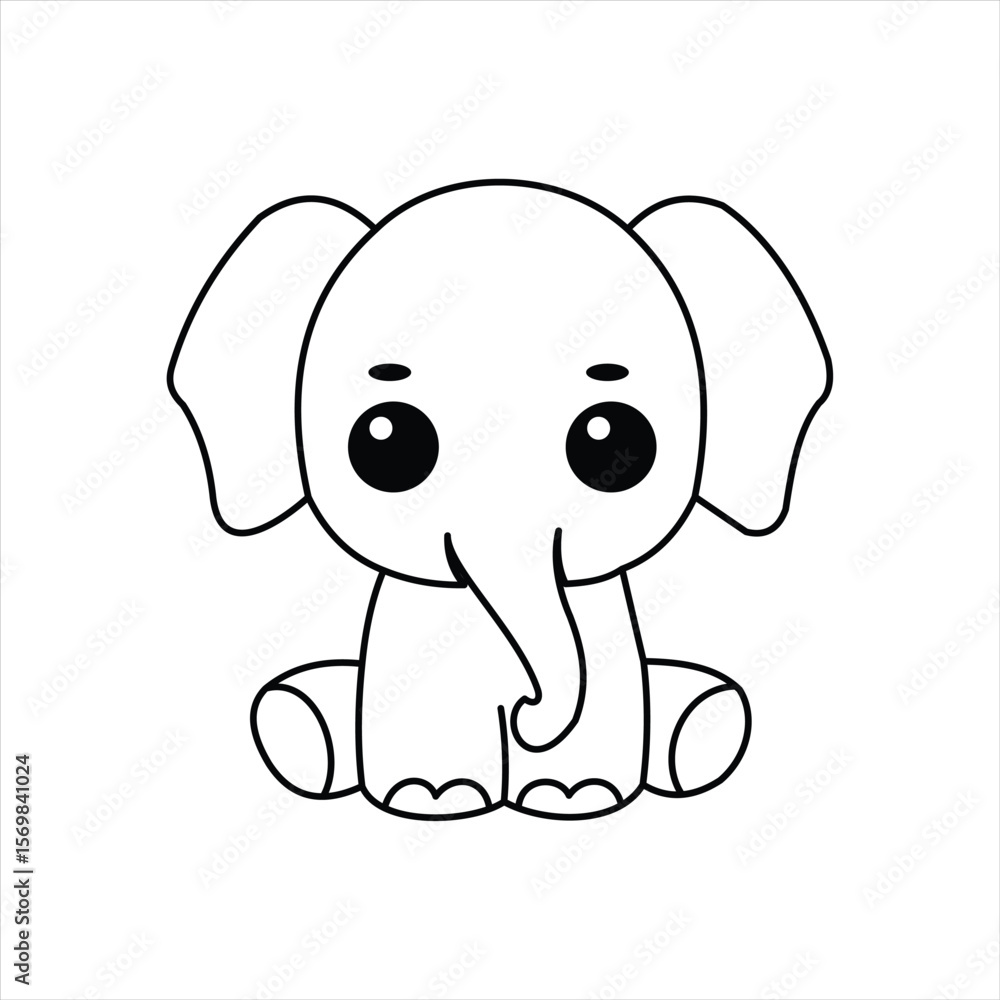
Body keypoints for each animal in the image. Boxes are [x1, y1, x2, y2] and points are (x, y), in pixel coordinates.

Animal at [168, 179, 831, 821]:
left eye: (614, 440)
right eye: (386, 441)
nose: (524, 711)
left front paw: (574, 796)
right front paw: (431, 797)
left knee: (716, 705)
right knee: (289, 705)